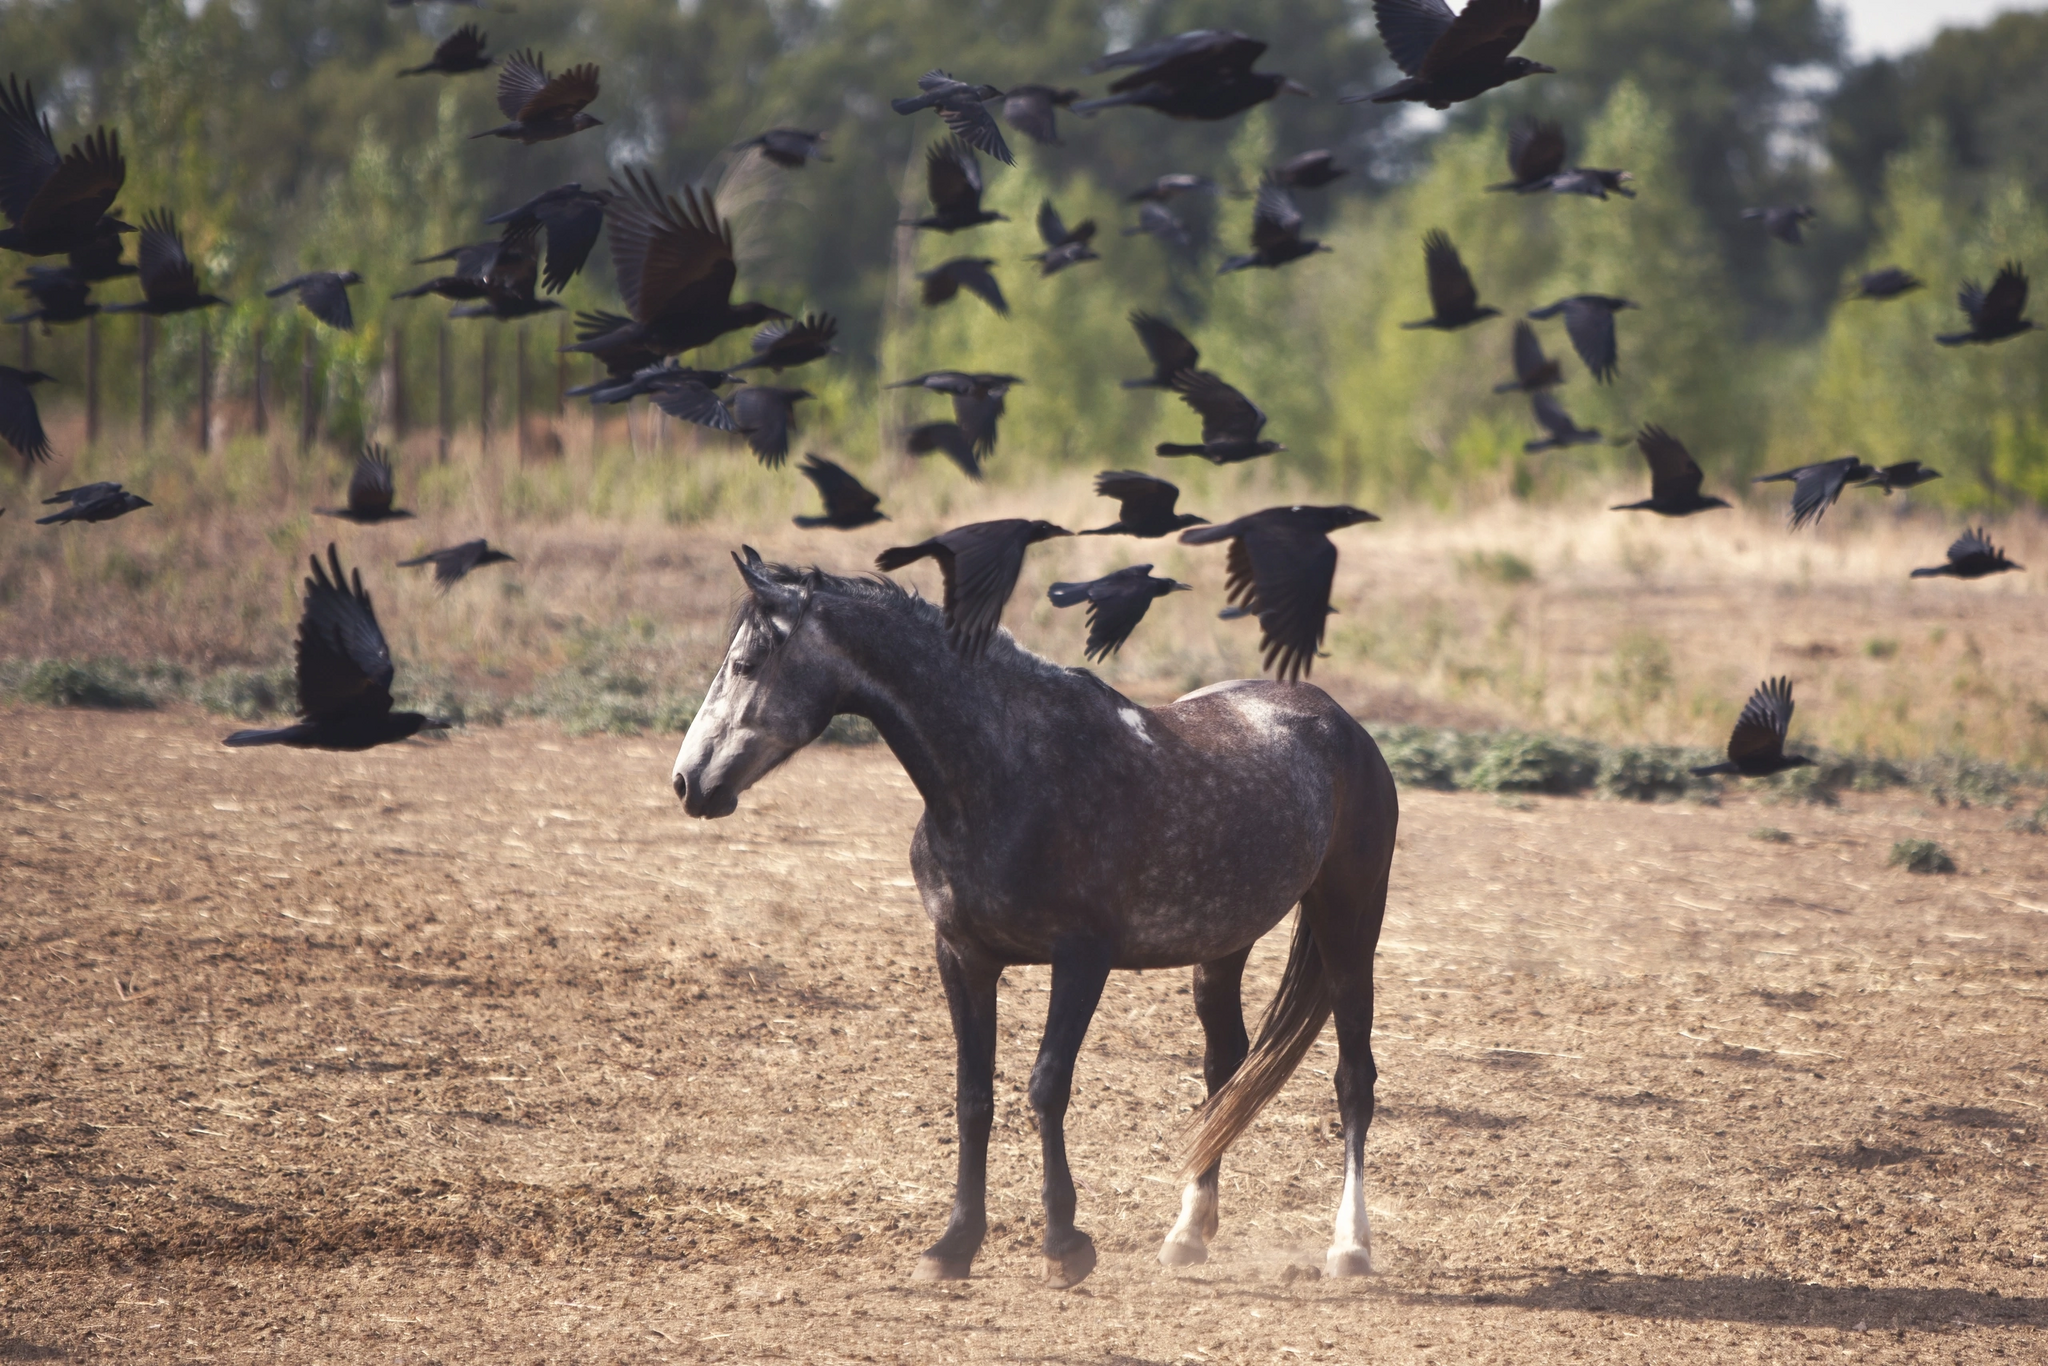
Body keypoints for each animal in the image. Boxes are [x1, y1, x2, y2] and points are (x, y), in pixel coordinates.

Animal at [667, 548, 1392, 1286]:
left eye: (745, 664)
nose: (687, 783)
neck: (1007, 777)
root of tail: (1338, 720)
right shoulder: (962, 956)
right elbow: (973, 1095)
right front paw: (953, 1246)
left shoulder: (1082, 960)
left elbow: (1046, 1087)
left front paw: (1064, 1245)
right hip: (1222, 946)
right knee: (1225, 1071)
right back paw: (1189, 1232)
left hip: (1349, 924)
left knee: (1353, 1080)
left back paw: (1350, 1247)